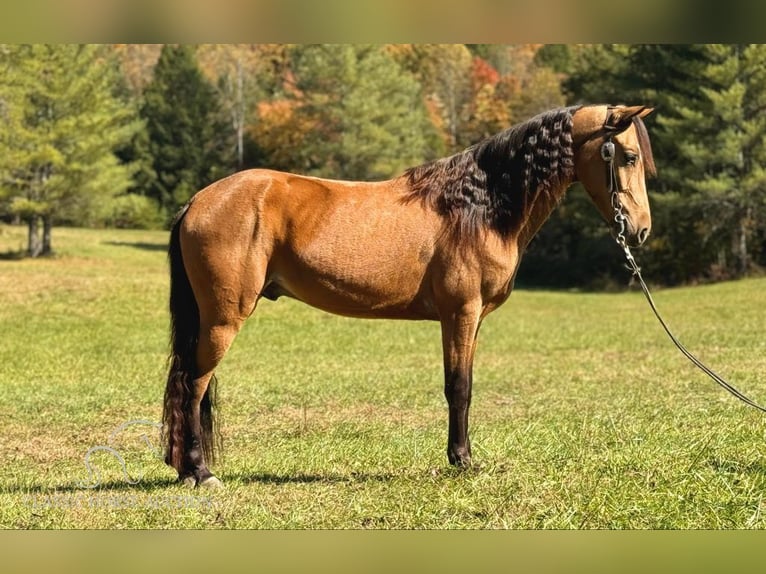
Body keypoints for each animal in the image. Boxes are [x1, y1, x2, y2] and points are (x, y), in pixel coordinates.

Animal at [165, 104, 656, 490]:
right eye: (628, 156)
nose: (641, 230)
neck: (478, 206)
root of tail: (197, 201)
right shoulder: (460, 313)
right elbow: (458, 388)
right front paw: (462, 461)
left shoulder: (471, 320)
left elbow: (466, 385)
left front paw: (464, 456)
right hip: (222, 320)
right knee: (193, 386)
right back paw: (200, 473)